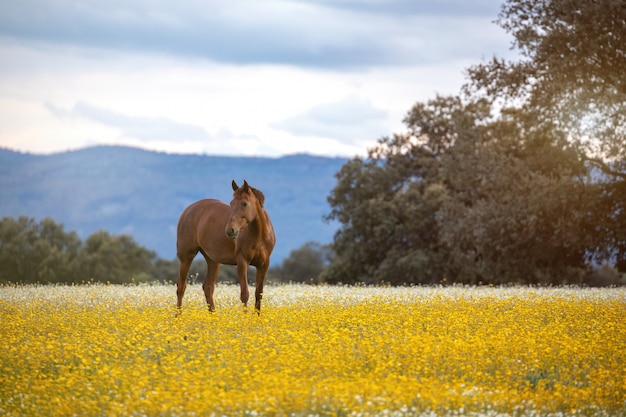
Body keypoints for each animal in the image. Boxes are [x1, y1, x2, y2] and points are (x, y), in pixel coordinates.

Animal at [174, 179, 274, 312]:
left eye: (244, 203)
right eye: (231, 203)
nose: (230, 230)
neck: (258, 235)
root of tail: (188, 209)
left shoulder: (264, 264)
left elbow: (259, 294)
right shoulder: (242, 262)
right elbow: (245, 294)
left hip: (213, 261)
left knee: (208, 287)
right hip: (186, 257)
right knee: (181, 287)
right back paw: (178, 315)